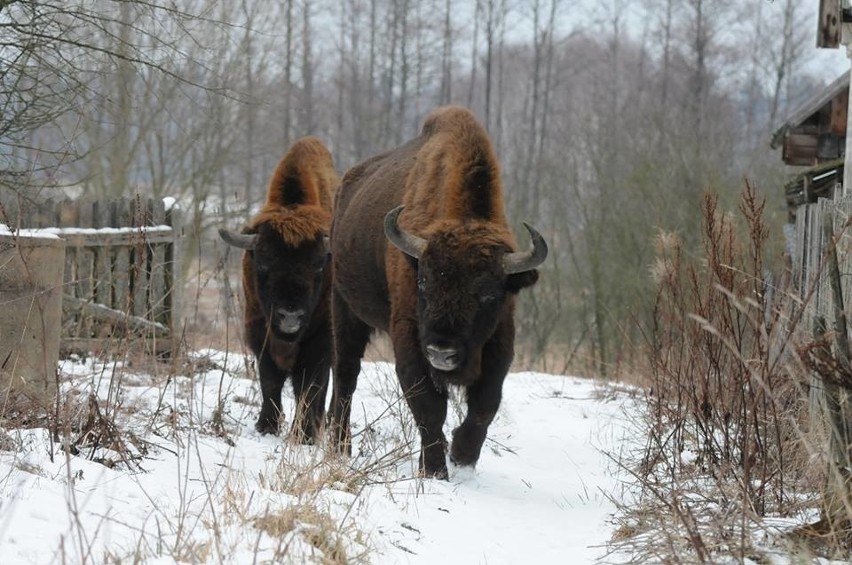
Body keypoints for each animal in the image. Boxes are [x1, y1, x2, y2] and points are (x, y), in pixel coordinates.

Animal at [218, 137, 338, 440]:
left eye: (319, 264)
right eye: (263, 262)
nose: (290, 316)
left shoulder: (321, 339)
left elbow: (310, 385)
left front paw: (305, 434)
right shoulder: (260, 332)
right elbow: (270, 380)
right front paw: (267, 425)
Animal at [330, 106, 548, 476]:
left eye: (490, 294)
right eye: (423, 283)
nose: (442, 353)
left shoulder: (500, 339)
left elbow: (485, 404)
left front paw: (462, 456)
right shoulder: (409, 339)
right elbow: (429, 408)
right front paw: (434, 471)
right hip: (344, 310)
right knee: (346, 374)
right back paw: (339, 447)